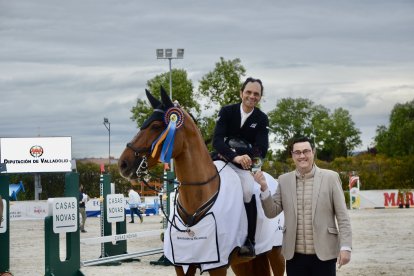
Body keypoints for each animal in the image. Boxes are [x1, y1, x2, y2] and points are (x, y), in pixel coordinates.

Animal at [118, 88, 284, 276]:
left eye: (155, 126)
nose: (123, 164)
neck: (197, 197)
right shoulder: (183, 264)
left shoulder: (218, 266)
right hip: (243, 263)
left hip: (276, 252)